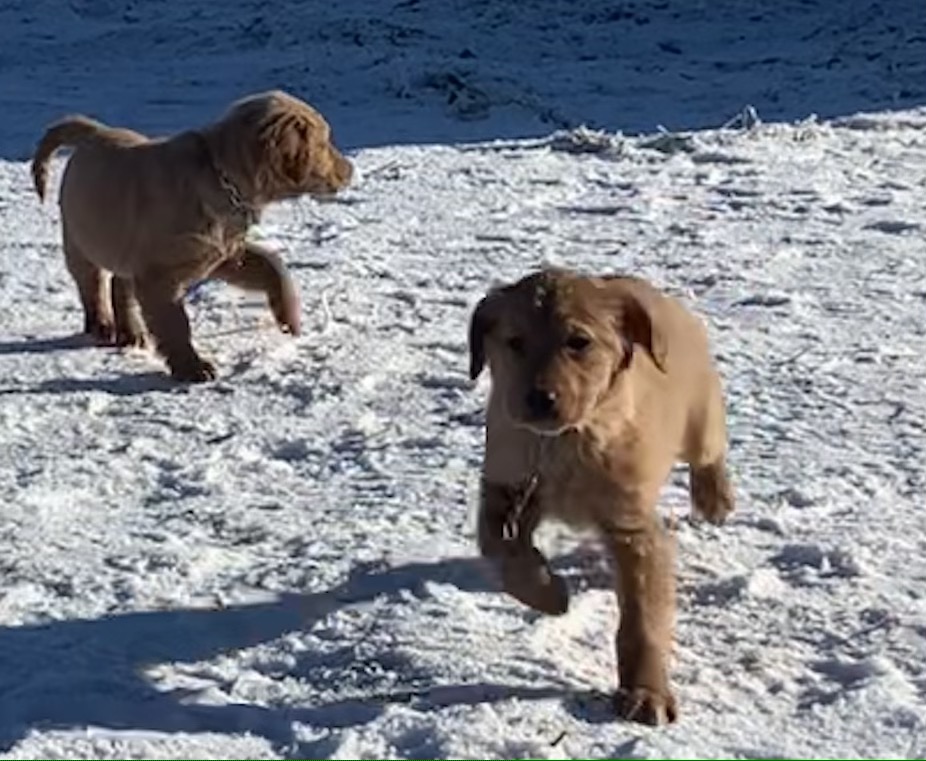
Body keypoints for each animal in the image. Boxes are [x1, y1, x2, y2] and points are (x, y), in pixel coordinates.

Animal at [31, 90, 352, 380]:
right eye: (324, 143)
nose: (350, 169)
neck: (221, 176)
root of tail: (96, 131)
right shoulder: (158, 276)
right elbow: (175, 324)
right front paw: (192, 368)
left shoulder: (223, 254)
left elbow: (272, 264)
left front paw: (290, 318)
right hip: (80, 237)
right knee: (92, 283)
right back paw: (102, 325)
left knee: (119, 284)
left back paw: (131, 332)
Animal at [472, 268, 740, 724]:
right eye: (515, 342)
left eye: (578, 342)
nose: (540, 399)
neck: (564, 442)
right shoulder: (506, 485)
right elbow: (498, 546)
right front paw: (547, 593)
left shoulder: (633, 528)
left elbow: (642, 619)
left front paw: (646, 693)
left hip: (699, 418)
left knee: (711, 450)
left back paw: (715, 497)